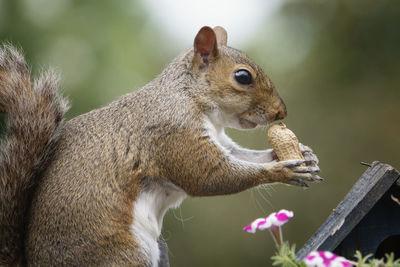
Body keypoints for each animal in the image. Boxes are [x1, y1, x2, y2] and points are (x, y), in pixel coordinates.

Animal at [0, 26, 318, 267]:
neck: (190, 97)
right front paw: (284, 171)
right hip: (125, 255)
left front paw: (302, 156)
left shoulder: (219, 140)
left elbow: (245, 156)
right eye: (243, 77)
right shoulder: (171, 133)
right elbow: (209, 176)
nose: (280, 112)